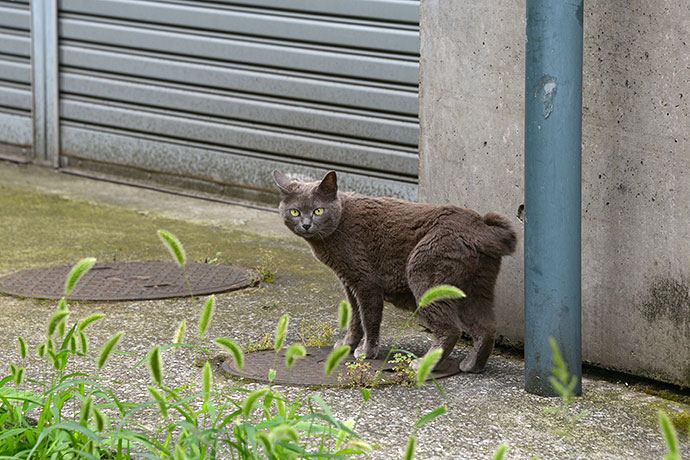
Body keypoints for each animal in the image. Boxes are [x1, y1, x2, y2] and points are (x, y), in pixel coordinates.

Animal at [272, 171, 512, 372]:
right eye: (295, 212)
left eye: (318, 210)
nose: (306, 224)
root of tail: (479, 226)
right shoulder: (350, 283)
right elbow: (355, 319)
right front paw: (347, 346)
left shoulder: (366, 283)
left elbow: (369, 320)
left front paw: (366, 352)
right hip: (475, 287)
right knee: (487, 327)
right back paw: (472, 366)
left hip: (425, 274)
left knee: (451, 329)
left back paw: (424, 364)